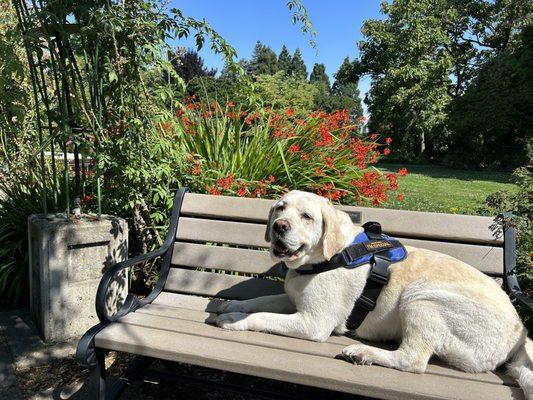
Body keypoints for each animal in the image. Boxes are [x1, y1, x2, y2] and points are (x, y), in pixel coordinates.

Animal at [216, 191, 532, 396]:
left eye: (306, 216)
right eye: (280, 208)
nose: (278, 226)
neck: (324, 257)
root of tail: (520, 337)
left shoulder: (313, 322)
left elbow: (262, 316)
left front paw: (234, 320)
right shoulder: (293, 300)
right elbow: (260, 301)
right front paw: (230, 305)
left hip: (421, 298)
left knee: (412, 360)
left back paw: (363, 352)